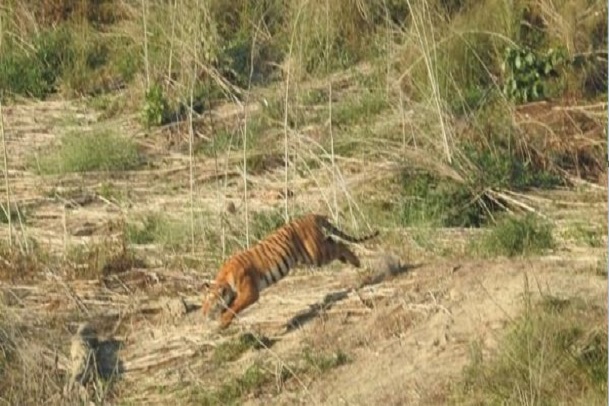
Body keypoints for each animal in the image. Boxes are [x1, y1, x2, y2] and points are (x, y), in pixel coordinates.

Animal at [202, 213, 378, 330]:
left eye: (209, 301)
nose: (203, 314)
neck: (224, 280)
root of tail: (311, 215)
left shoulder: (250, 292)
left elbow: (234, 307)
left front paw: (222, 322)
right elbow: (231, 306)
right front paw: (223, 319)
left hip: (316, 254)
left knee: (339, 244)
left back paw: (356, 261)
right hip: (314, 253)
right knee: (334, 241)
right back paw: (350, 261)